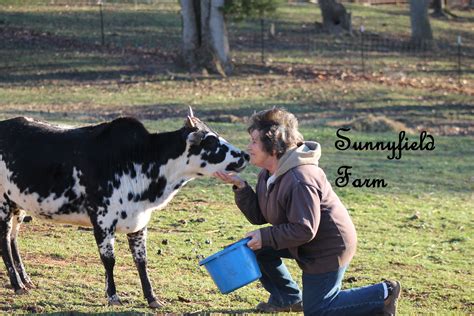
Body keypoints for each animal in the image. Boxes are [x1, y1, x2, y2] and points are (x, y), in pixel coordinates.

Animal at [0, 109, 250, 308]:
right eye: (213, 143)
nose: (246, 155)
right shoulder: (102, 221)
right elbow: (109, 260)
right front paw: (113, 296)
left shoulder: (139, 222)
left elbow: (141, 261)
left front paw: (152, 298)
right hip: (3, 205)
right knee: (4, 242)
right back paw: (17, 285)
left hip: (17, 205)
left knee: (13, 240)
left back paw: (26, 280)